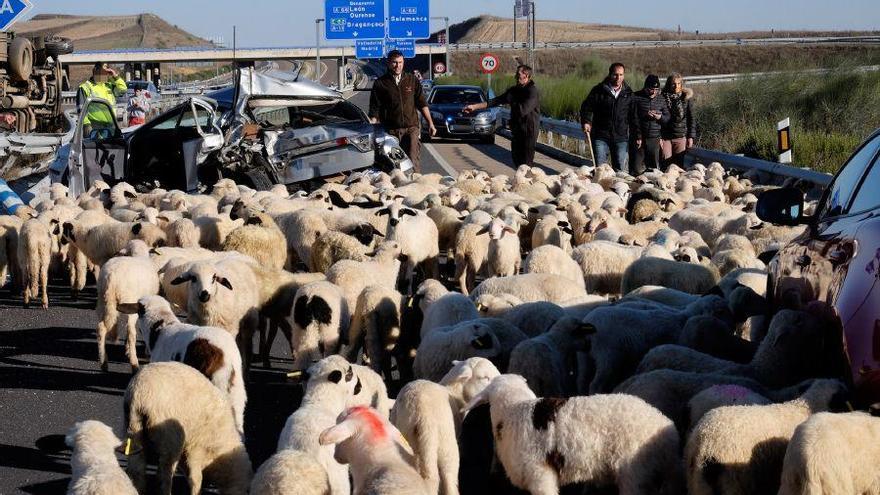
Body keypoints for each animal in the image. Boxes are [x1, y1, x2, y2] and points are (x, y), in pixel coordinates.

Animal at [122, 360, 251, 495]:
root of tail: (140, 394)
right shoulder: (196, 446)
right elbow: (195, 477)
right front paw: (196, 491)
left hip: (133, 427)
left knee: (136, 468)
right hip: (171, 436)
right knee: (164, 473)